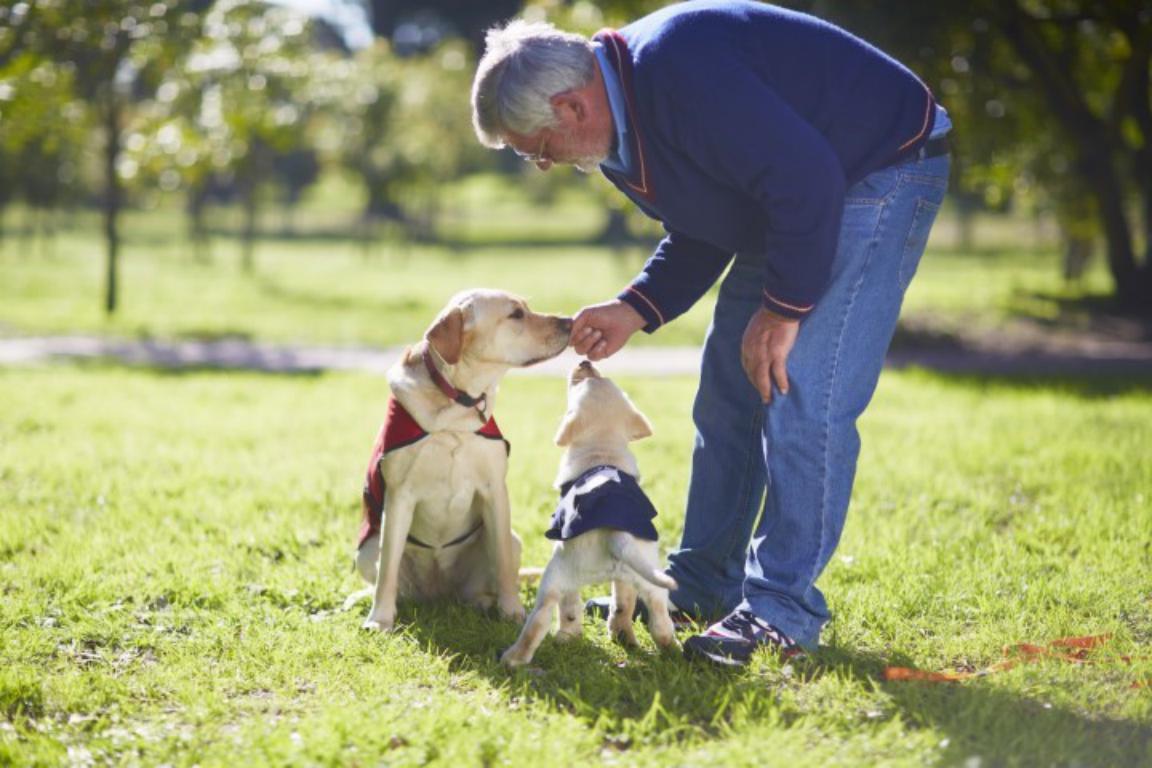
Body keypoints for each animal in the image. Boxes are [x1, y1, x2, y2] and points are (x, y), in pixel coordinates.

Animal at [354, 287, 571, 630]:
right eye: (516, 314)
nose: (570, 322)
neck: (456, 405)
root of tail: (439, 593)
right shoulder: (400, 496)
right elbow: (387, 570)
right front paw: (380, 620)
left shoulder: (495, 491)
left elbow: (504, 567)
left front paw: (512, 612)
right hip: (365, 549)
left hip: (513, 540)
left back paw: (484, 602)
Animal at [502, 361, 677, 667]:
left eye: (580, 381)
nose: (585, 362)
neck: (602, 451)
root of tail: (616, 532)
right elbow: (624, 602)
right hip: (646, 574)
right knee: (650, 615)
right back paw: (663, 646)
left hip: (555, 574)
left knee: (546, 616)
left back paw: (520, 655)